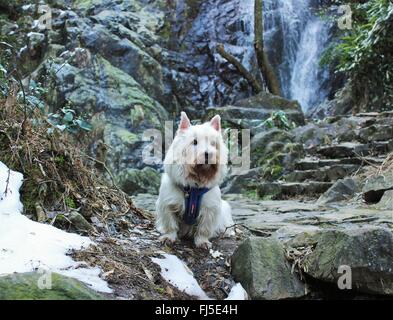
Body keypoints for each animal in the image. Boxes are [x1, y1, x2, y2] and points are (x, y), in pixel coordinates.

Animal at [154, 112, 233, 250]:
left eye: (213, 143)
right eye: (194, 142)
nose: (208, 154)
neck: (194, 185)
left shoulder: (210, 208)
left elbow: (204, 228)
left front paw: (202, 242)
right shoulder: (168, 203)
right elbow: (170, 223)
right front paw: (169, 237)